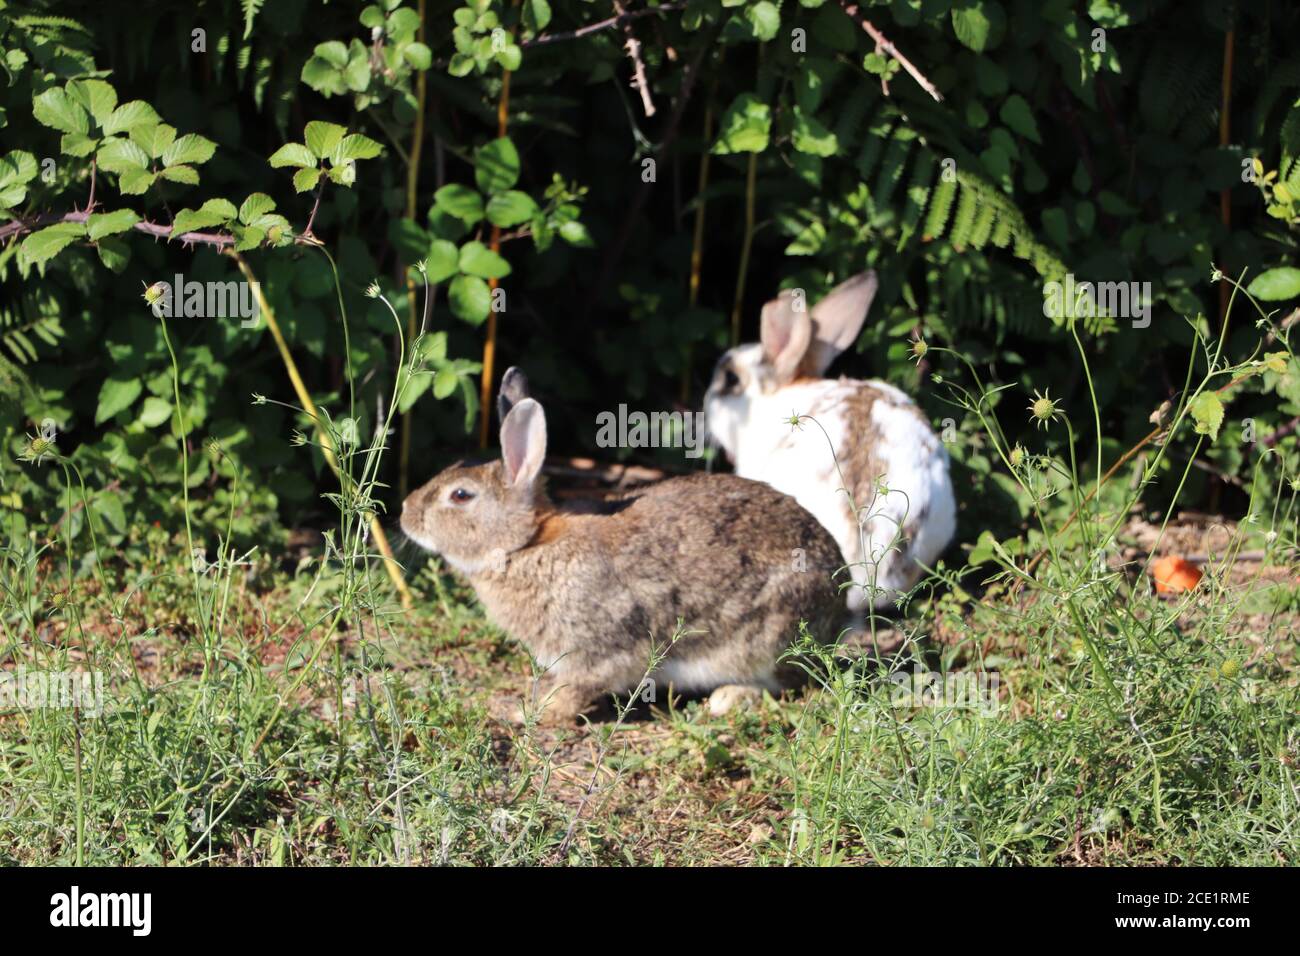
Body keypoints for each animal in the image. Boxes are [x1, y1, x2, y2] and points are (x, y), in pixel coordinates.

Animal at [400, 372, 843, 724]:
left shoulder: (599, 649)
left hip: (770, 634)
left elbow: (579, 688)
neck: (525, 546)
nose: (405, 513)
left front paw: (533, 713)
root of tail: (839, 593)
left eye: (460, 496)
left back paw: (729, 697)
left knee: (786, 680)